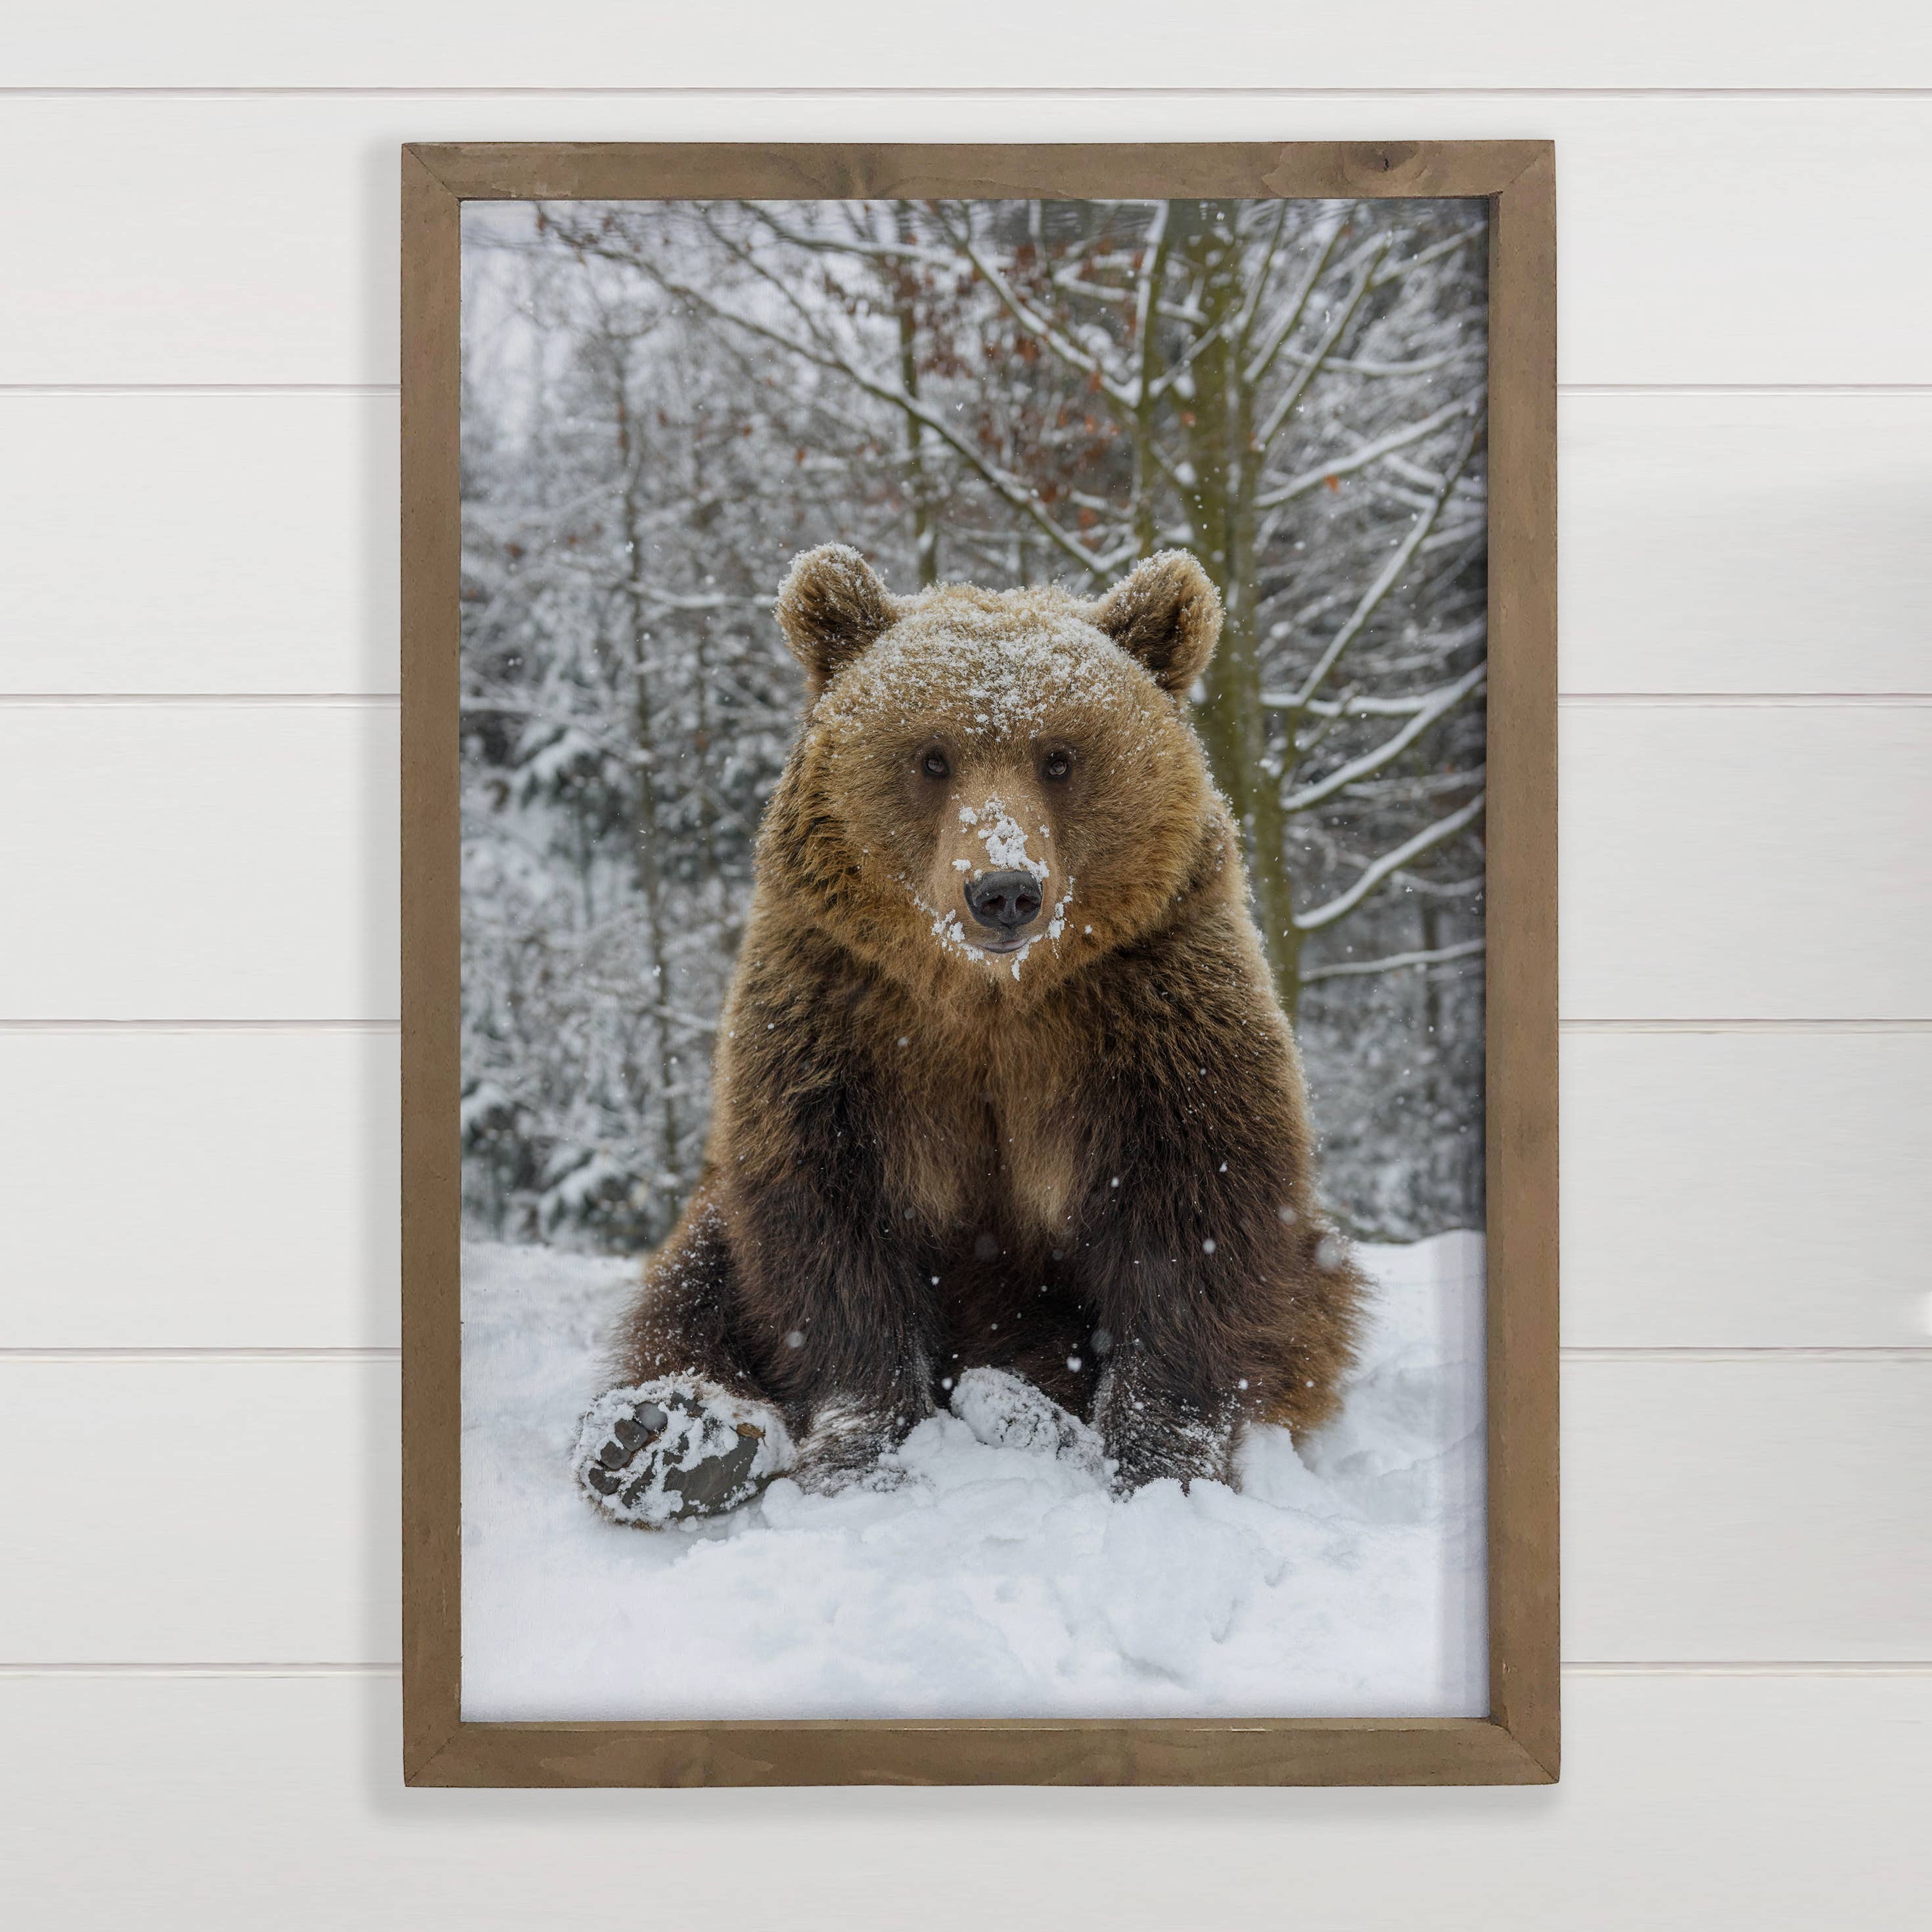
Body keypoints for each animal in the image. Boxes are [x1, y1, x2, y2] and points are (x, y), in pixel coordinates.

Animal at [564, 541, 1368, 1522]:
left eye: (1059, 757)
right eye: (933, 757)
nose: (1004, 890)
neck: (993, 999)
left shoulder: (1152, 1008)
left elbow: (1194, 1222)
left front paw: (1162, 1463)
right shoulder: (840, 1020)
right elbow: (828, 1232)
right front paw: (857, 1452)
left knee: (1297, 1305)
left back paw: (1015, 1407)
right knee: (700, 1279)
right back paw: (670, 1437)